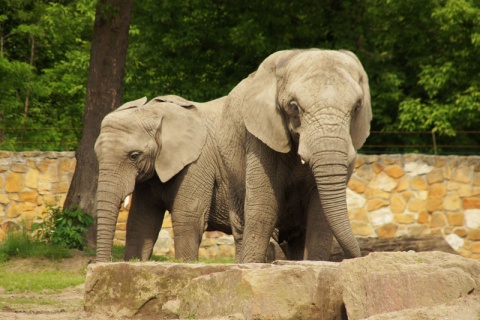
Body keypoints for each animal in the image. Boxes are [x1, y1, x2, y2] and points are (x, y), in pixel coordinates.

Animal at [217, 48, 372, 262]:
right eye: (293, 106)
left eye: (357, 107)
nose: (357, 257)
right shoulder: (259, 136)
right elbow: (264, 204)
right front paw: (251, 265)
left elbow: (319, 215)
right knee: (241, 225)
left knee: (297, 235)